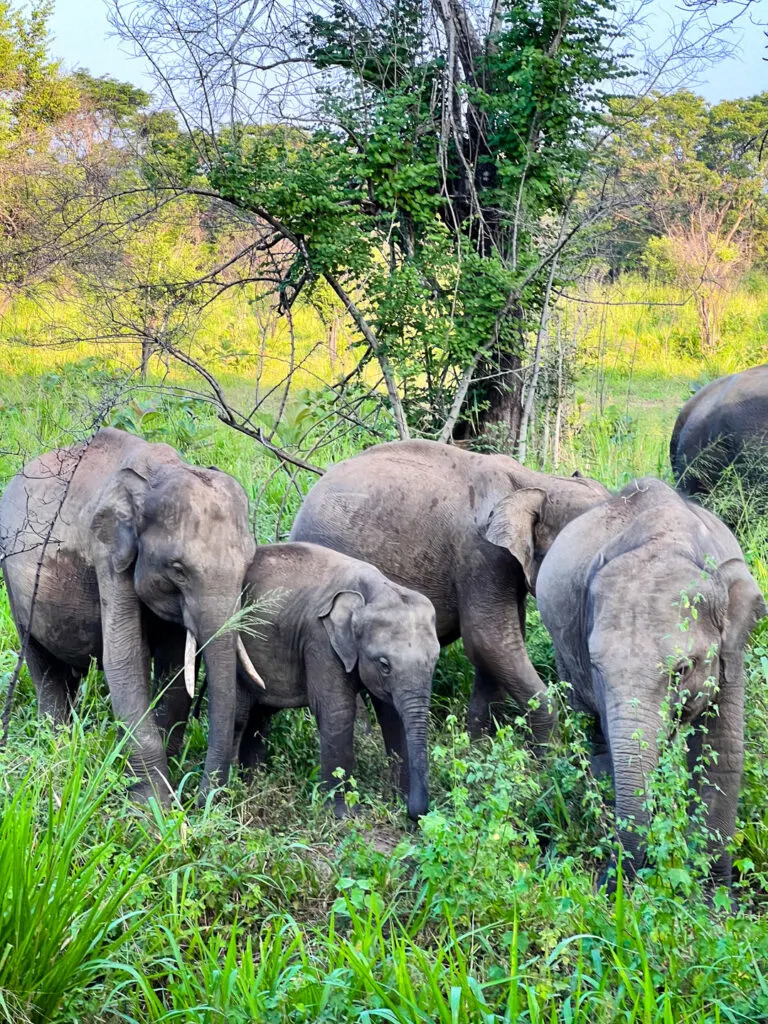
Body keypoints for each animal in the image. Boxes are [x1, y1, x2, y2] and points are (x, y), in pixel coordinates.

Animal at [0, 428, 264, 802]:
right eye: (178, 570)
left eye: (247, 565)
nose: (200, 800)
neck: (158, 473)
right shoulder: (107, 554)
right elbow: (125, 658)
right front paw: (153, 805)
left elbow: (174, 665)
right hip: (12, 579)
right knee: (41, 662)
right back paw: (57, 744)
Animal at [290, 440, 610, 745]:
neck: (534, 481)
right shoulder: (480, 555)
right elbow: (488, 640)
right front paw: (550, 751)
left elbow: (498, 645)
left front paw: (479, 744)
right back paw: (366, 742)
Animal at [536, 477, 765, 888]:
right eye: (598, 667)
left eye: (682, 669)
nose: (607, 885)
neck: (668, 538)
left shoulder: (732, 648)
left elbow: (722, 750)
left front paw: (711, 892)